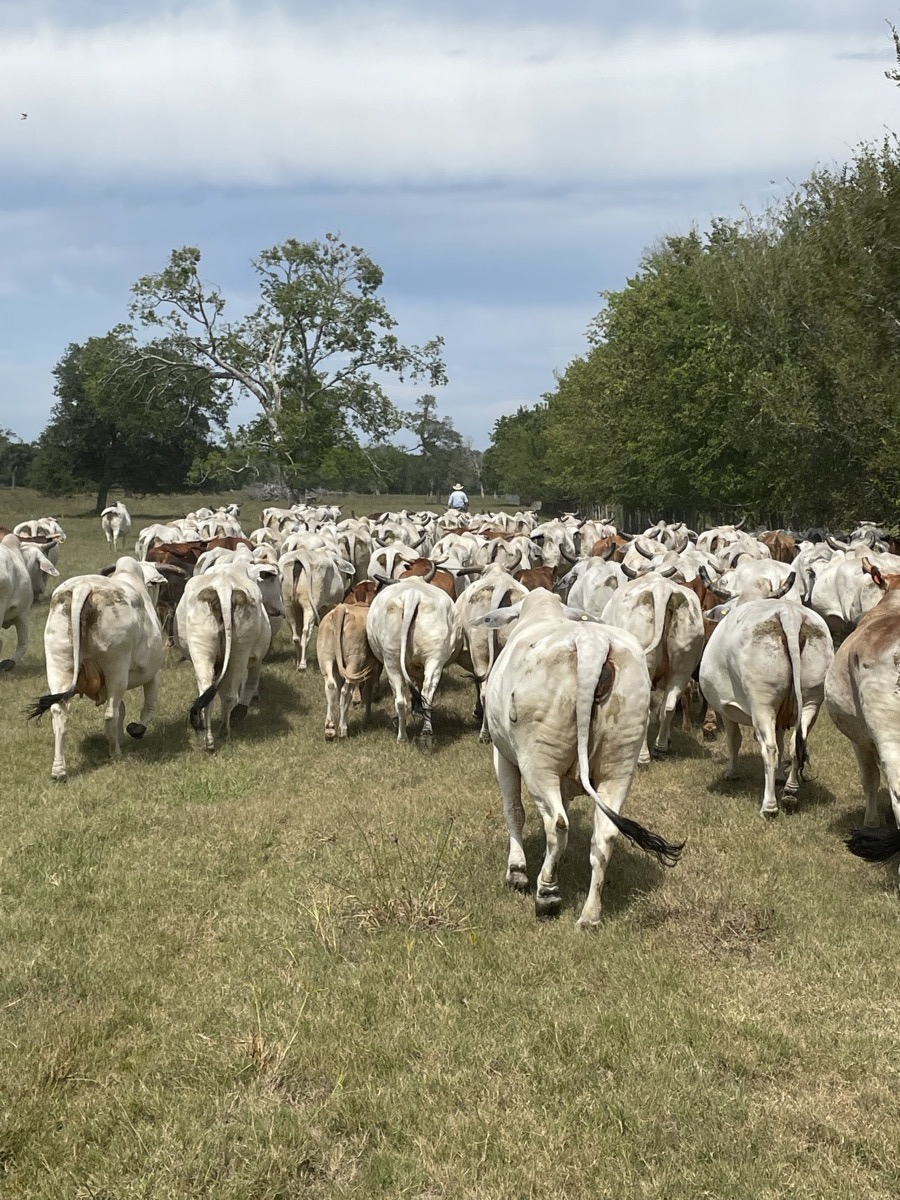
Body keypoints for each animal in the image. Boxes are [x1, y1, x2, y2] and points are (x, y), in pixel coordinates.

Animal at [26, 557, 166, 780]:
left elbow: (124, 709)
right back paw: (115, 753)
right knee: (110, 713)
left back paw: (59, 769)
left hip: (58, 663)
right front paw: (135, 731)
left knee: (58, 713)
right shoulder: (153, 673)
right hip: (116, 667)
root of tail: (82, 587)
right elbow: (149, 707)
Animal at [317, 602, 382, 740]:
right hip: (354, 660)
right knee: (346, 691)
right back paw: (343, 729)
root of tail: (341, 609)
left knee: (331, 686)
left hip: (326, 657)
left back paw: (330, 728)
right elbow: (368, 692)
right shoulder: (373, 667)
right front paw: (368, 718)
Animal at [366, 576, 461, 743]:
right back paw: (425, 734)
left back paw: (402, 736)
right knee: (426, 694)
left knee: (401, 700)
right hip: (433, 659)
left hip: (392, 661)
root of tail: (412, 595)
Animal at [475, 589, 684, 926]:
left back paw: (547, 894)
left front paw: (517, 871)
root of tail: (590, 644)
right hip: (619, 764)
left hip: (538, 763)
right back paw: (590, 915)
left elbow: (514, 811)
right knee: (605, 834)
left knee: (556, 823)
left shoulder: (503, 757)